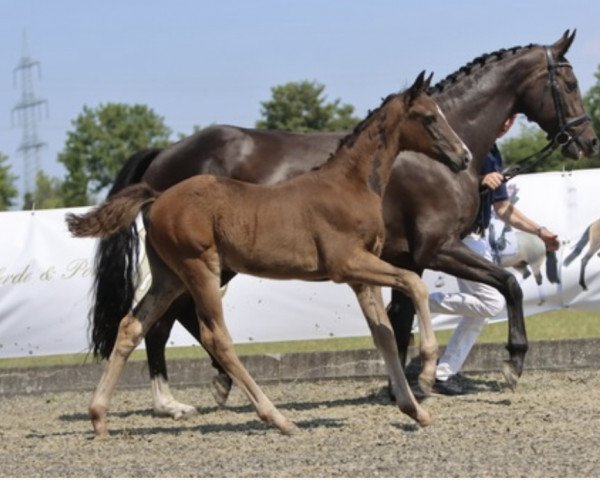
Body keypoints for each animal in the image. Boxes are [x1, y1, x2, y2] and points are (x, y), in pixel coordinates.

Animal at [69, 72, 474, 438]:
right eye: (429, 117)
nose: (464, 156)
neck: (350, 185)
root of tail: (156, 196)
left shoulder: (362, 277)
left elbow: (384, 333)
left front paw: (414, 410)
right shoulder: (347, 265)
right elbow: (414, 284)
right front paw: (427, 372)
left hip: (169, 276)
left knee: (132, 325)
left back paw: (99, 417)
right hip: (199, 267)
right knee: (215, 336)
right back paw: (276, 418)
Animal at [91, 31, 596, 420]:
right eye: (569, 81)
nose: (587, 140)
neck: (423, 158)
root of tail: (163, 155)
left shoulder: (404, 258)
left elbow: (398, 318)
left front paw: (404, 386)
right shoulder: (437, 248)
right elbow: (508, 285)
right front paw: (511, 363)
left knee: (165, 320)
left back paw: (204, 389)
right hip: (204, 265)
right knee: (166, 324)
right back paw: (177, 401)